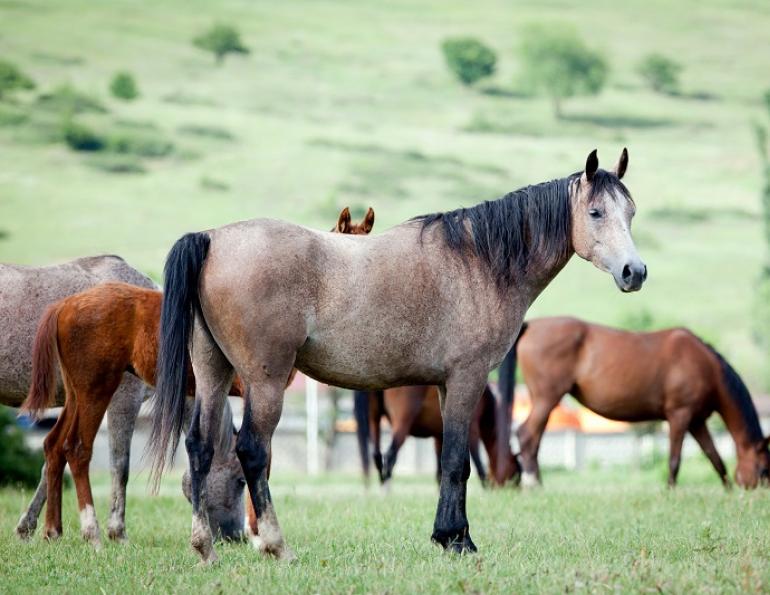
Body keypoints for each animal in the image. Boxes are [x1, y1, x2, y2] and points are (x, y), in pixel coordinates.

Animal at [0, 256, 243, 544]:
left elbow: (51, 463)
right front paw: (117, 531)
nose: (238, 535)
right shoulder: (124, 399)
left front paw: (30, 527)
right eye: (240, 480)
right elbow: (119, 465)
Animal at [356, 384, 519, 486]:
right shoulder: (472, 432)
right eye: (515, 471)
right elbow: (479, 464)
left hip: (374, 420)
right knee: (390, 457)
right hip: (402, 423)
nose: (514, 489)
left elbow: (439, 472)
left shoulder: (438, 438)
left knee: (377, 457)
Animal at [502, 317, 770, 488]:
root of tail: (531, 326)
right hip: (547, 398)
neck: (705, 366)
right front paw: (670, 491)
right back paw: (534, 484)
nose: (762, 489)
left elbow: (715, 457)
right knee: (527, 435)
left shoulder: (696, 421)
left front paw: (727, 489)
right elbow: (674, 459)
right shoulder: (679, 416)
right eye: (764, 469)